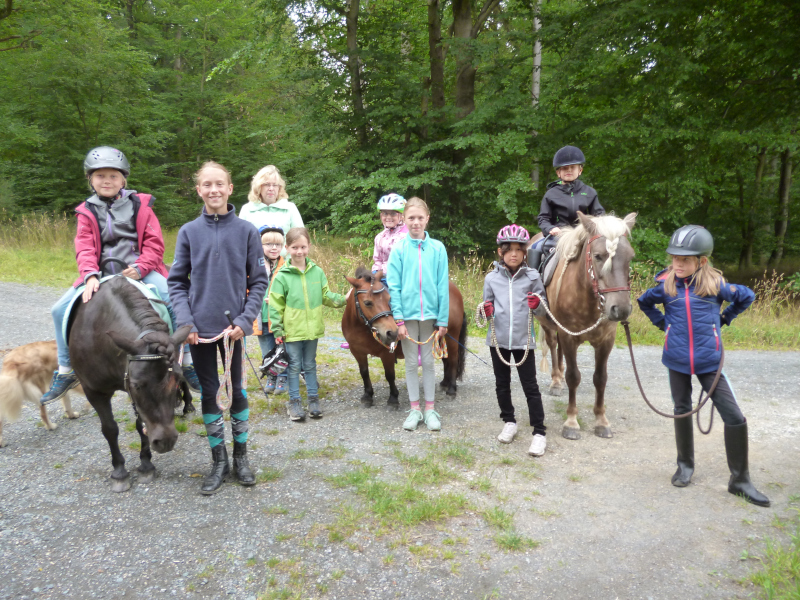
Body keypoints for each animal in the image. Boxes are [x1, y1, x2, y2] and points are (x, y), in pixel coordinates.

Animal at [68, 276, 193, 492]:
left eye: (177, 381)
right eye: (137, 385)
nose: (166, 441)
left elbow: (140, 424)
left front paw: (146, 465)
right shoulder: (94, 391)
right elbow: (110, 429)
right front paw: (119, 472)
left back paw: (188, 405)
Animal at [340, 268, 466, 408]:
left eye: (389, 299)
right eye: (367, 303)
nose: (392, 332)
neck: (362, 328)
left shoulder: (387, 353)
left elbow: (389, 375)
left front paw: (393, 398)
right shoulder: (357, 352)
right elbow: (364, 372)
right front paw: (368, 395)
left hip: (452, 338)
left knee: (453, 360)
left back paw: (451, 389)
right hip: (440, 338)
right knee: (446, 360)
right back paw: (445, 383)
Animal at [532, 213, 636, 438]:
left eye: (630, 257)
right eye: (598, 256)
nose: (621, 309)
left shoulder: (606, 341)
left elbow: (600, 378)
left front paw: (601, 421)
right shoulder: (569, 337)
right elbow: (573, 376)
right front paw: (571, 422)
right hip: (549, 326)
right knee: (553, 346)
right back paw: (556, 381)